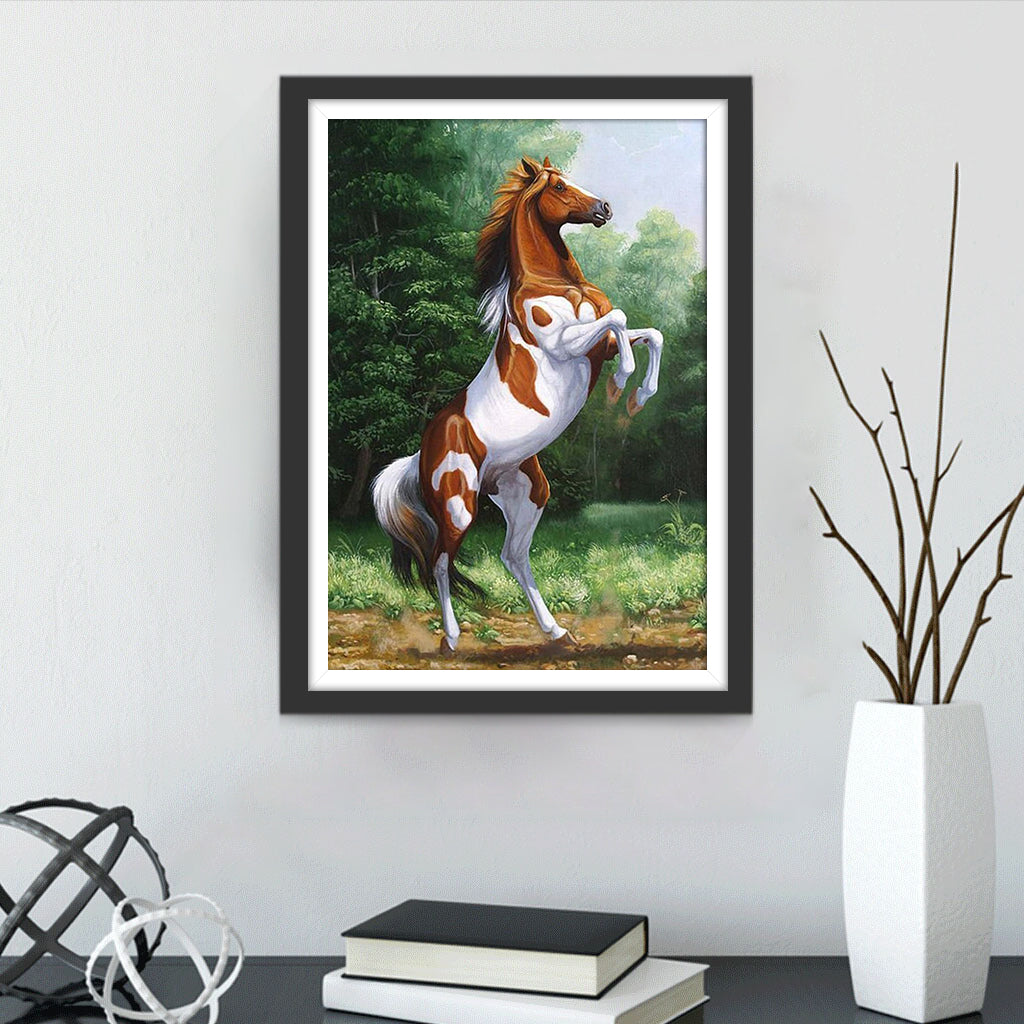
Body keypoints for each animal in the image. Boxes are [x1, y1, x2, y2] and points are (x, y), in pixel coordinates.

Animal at [372, 155, 664, 654]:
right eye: (560, 186)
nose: (604, 208)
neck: (556, 283)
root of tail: (420, 454)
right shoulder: (567, 344)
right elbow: (621, 318)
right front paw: (621, 384)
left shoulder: (598, 347)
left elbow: (647, 332)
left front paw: (637, 396)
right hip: (458, 506)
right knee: (441, 562)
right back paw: (452, 638)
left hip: (526, 494)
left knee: (513, 557)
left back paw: (555, 631)